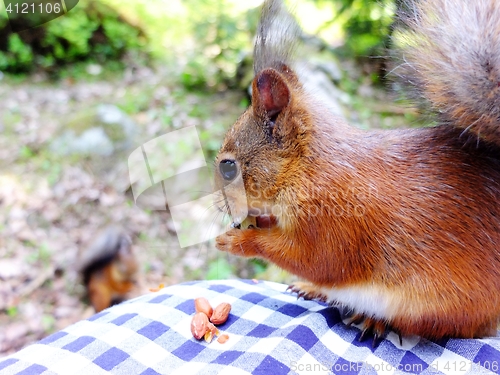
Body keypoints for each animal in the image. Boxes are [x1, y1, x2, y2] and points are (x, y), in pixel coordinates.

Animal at [213, 0, 500, 342]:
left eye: (227, 167)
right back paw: (312, 290)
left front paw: (238, 241)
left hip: (437, 307)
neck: (307, 170)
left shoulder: (336, 220)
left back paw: (372, 319)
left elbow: (315, 260)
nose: (221, 208)